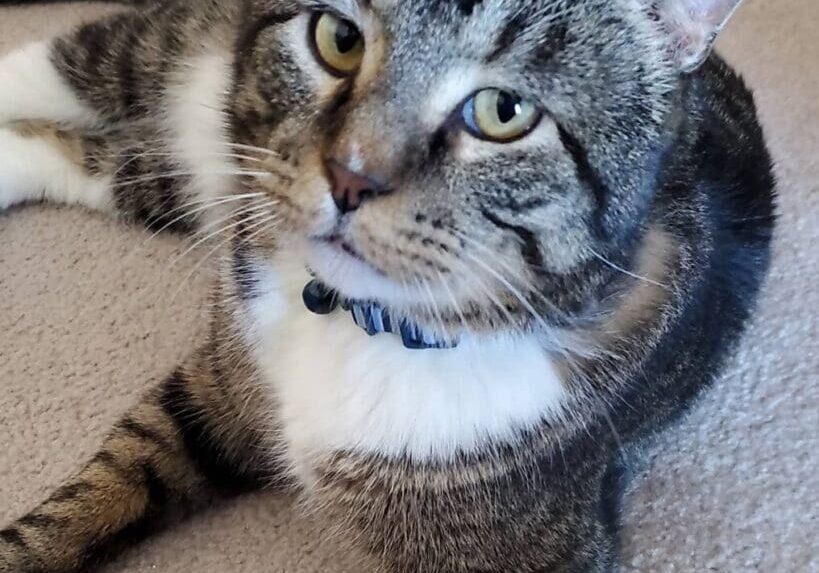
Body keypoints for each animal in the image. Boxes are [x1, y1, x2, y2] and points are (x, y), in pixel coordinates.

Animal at [0, 0, 776, 568]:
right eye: (339, 37)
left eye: (503, 112)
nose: (349, 177)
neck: (353, 316)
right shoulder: (216, 382)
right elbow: (92, 492)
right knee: (79, 61)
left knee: (108, 160)